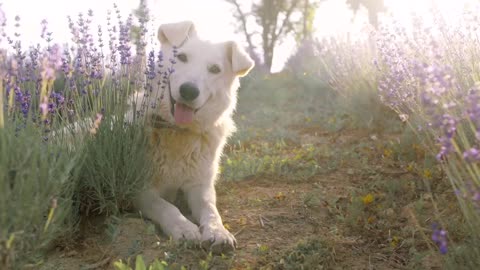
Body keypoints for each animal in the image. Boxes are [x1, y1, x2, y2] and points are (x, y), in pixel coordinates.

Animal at [133, 20, 255, 253]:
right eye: (181, 57)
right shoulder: (139, 190)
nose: (189, 91)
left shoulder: (200, 187)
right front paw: (184, 228)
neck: (177, 133)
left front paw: (219, 232)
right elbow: (165, 206)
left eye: (214, 69)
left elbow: (211, 210)